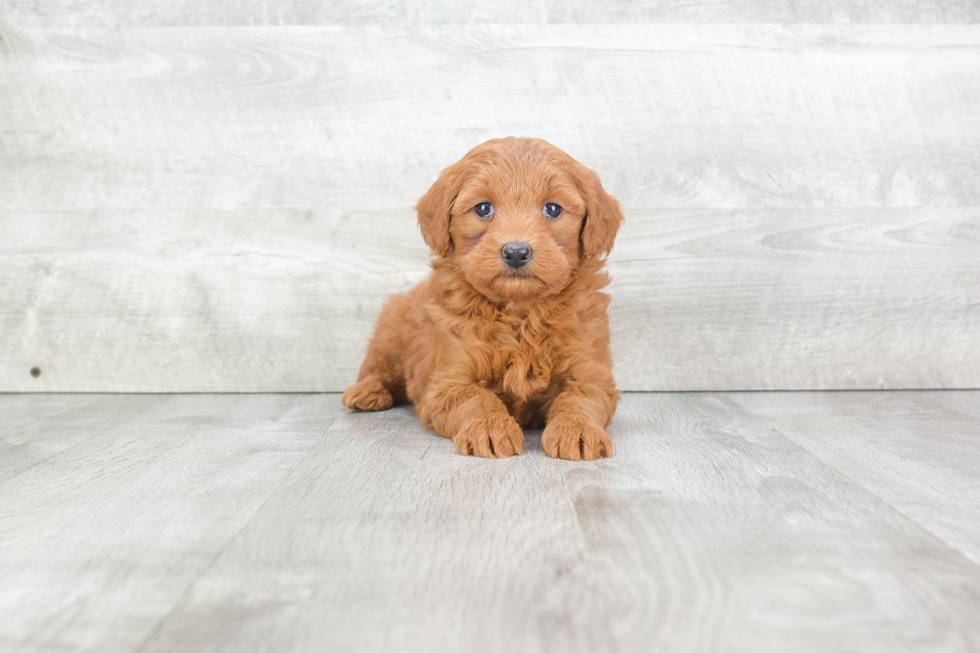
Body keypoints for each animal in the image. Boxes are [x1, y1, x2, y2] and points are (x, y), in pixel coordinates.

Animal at [340, 136, 624, 458]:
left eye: (553, 209)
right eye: (483, 208)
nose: (516, 251)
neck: (520, 312)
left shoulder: (590, 371)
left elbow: (580, 397)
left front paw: (577, 429)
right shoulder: (449, 381)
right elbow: (476, 398)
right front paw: (490, 428)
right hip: (390, 328)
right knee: (377, 367)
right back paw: (367, 391)